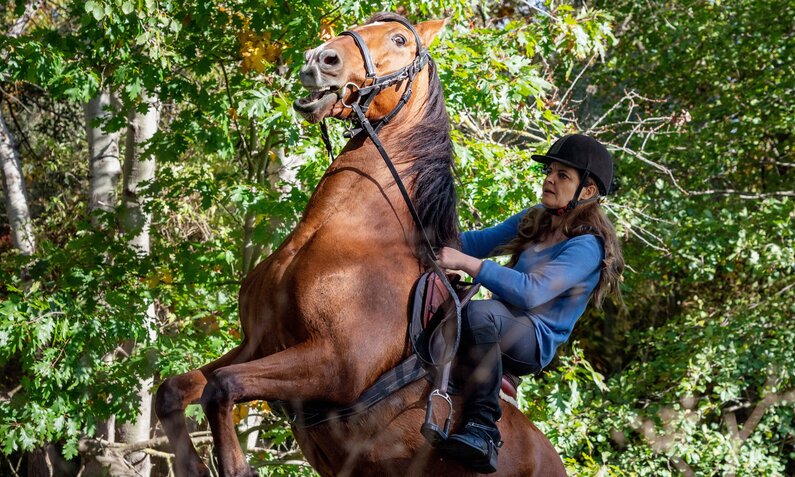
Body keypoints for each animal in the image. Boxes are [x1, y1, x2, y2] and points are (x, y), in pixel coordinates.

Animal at [154, 12, 564, 476]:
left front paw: (236, 467)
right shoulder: (257, 345)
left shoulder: (335, 366)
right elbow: (174, 390)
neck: (349, 237)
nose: (320, 59)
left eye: (400, 39)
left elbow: (221, 388)